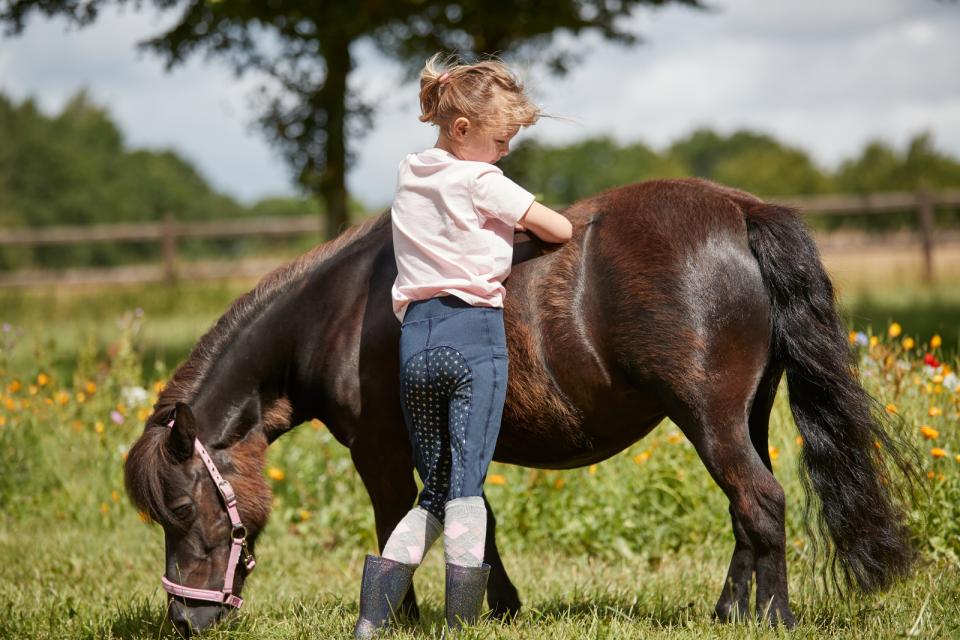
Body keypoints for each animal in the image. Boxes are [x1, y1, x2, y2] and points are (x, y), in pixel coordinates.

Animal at [124, 176, 912, 636]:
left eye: (184, 509)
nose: (185, 618)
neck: (338, 312)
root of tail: (742, 210)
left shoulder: (381, 449)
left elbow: (395, 524)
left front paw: (401, 616)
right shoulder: (450, 436)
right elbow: (475, 516)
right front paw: (496, 606)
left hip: (709, 418)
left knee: (760, 502)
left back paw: (773, 619)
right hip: (745, 413)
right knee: (748, 509)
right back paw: (727, 613)